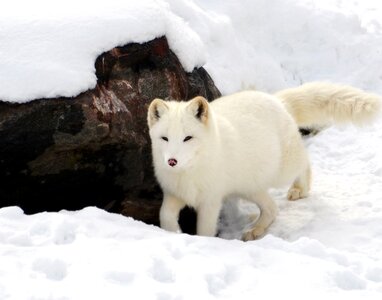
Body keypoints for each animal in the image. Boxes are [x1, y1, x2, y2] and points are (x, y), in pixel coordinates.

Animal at [145, 82, 380, 241]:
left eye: (188, 138)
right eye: (164, 138)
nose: (172, 161)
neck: (189, 174)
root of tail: (277, 101)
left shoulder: (211, 200)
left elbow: (205, 230)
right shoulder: (174, 194)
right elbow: (165, 215)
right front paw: (173, 233)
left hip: (280, 172)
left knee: (305, 162)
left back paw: (299, 189)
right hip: (249, 187)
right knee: (272, 209)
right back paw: (255, 230)